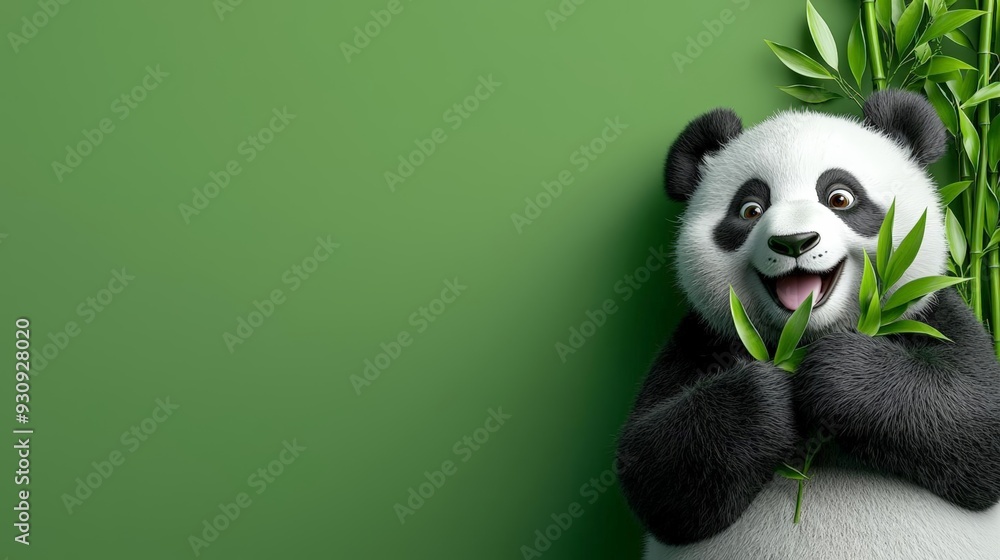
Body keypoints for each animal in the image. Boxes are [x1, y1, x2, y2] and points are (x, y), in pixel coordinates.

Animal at [616, 90, 1000, 560]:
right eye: (750, 208)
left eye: (840, 198)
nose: (794, 242)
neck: (804, 333)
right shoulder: (704, 338)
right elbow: (652, 467)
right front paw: (769, 394)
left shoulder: (929, 313)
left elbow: (977, 417)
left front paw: (839, 373)